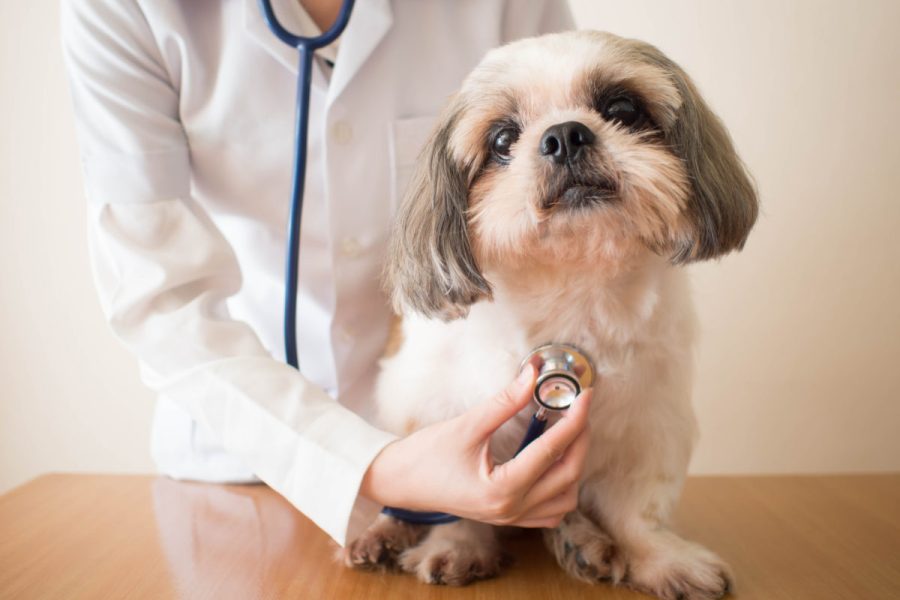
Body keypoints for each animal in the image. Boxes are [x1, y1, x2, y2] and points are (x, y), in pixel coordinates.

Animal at [344, 29, 760, 600]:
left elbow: (636, 509)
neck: (573, 285)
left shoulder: (650, 425)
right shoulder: (443, 417)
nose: (565, 135)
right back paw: (385, 536)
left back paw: (581, 540)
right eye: (502, 140)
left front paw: (659, 557)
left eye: (622, 109)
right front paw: (458, 548)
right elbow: (457, 505)